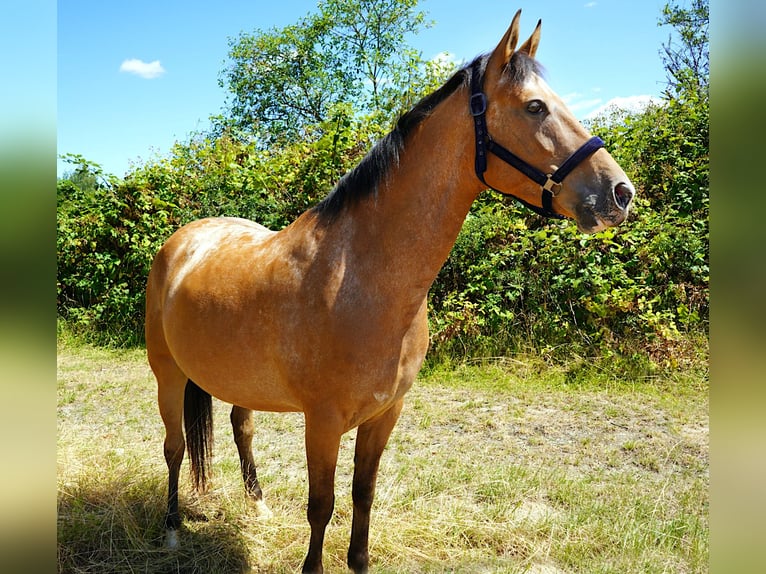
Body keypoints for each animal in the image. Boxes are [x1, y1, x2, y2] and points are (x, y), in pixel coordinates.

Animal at [145, 10, 634, 573]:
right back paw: (172, 529)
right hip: (167, 374)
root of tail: (184, 240)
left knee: (240, 426)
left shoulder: (384, 416)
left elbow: (363, 496)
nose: (620, 193)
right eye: (535, 106)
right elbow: (321, 505)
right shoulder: (323, 422)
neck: (361, 279)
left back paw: (258, 505)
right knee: (175, 447)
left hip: (237, 380)